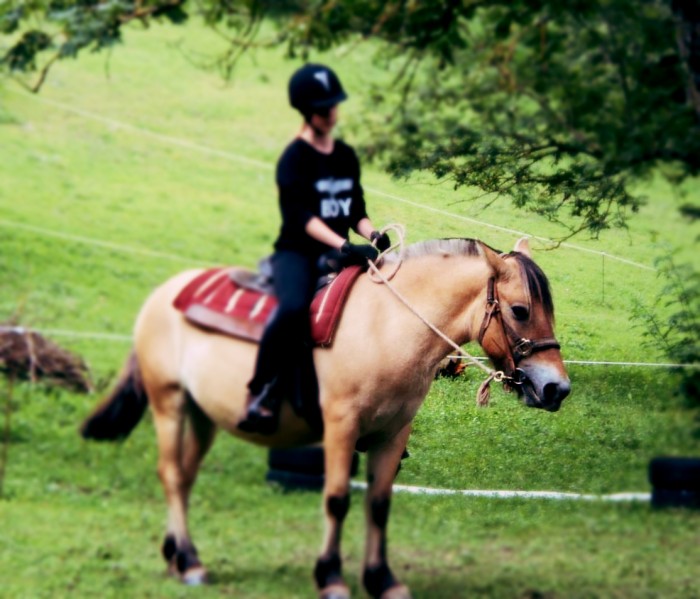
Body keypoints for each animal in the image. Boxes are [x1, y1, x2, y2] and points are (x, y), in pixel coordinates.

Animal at [80, 237, 568, 596]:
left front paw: (382, 580)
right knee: (171, 474)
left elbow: (379, 504)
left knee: (183, 476)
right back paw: (190, 561)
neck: (387, 327)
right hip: (170, 403)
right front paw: (330, 577)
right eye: (520, 310)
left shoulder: (393, 435)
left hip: (202, 415)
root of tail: (164, 295)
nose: (557, 389)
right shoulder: (340, 429)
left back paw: (176, 557)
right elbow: (336, 499)